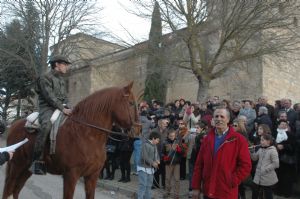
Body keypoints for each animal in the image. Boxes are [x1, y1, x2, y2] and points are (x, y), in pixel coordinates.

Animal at [2, 81, 141, 199]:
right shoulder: (71, 175)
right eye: (130, 103)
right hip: (16, 165)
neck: (87, 135)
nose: (139, 129)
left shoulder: (92, 176)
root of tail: (14, 125)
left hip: (26, 168)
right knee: (8, 190)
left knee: (16, 190)